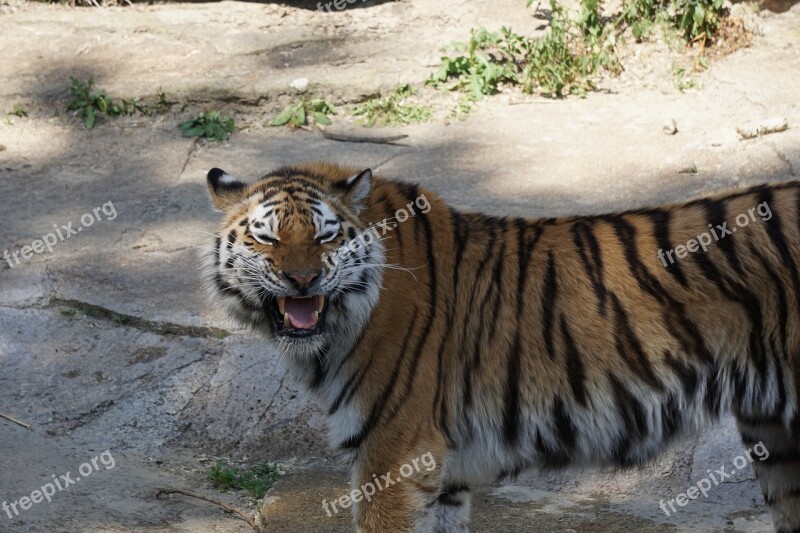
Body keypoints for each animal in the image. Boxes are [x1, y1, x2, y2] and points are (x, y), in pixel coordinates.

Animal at [200, 162, 800, 532]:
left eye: (325, 236)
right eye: (266, 237)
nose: (302, 280)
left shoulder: (392, 454)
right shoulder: (439, 471)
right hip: (775, 435)